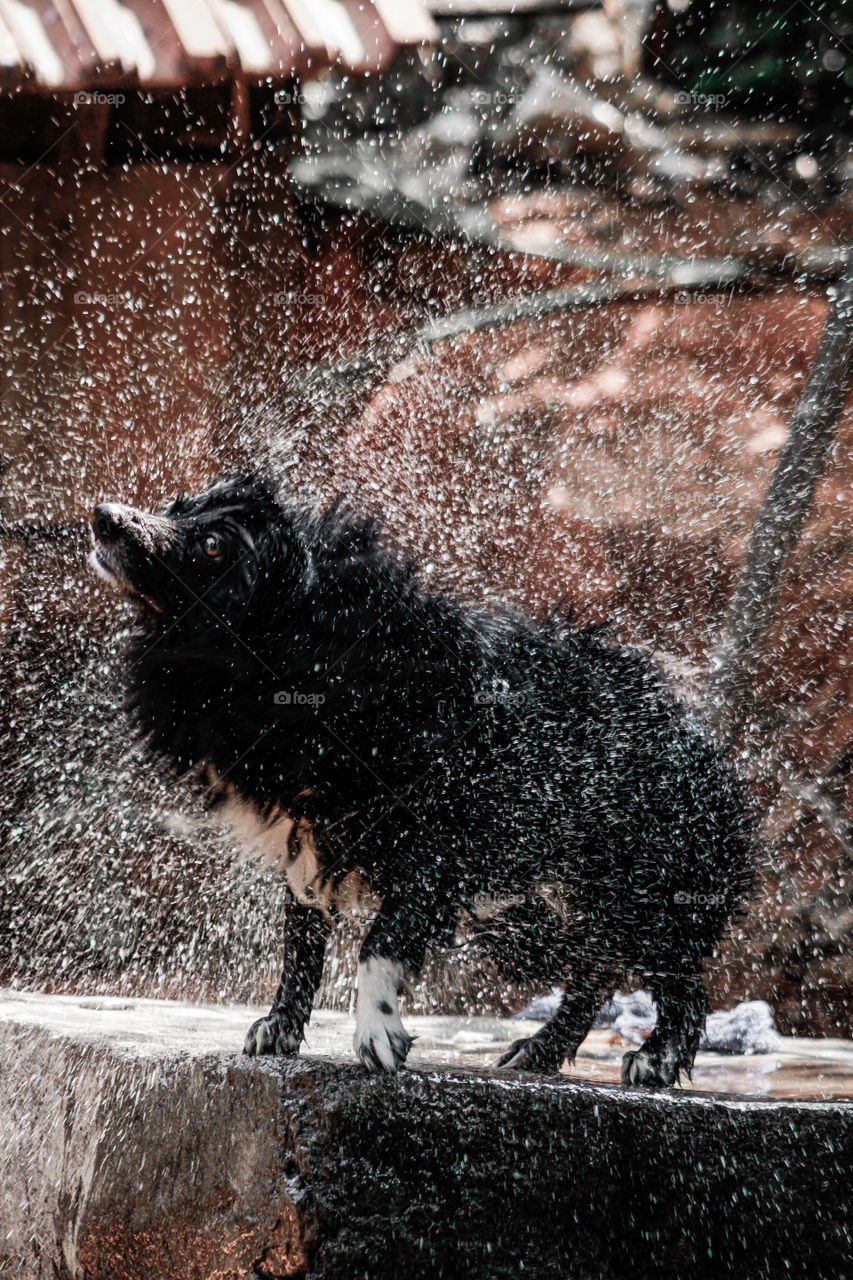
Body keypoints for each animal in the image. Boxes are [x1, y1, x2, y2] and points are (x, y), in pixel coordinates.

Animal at [89, 476, 753, 1085]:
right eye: (177, 506)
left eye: (212, 546)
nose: (104, 516)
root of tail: (700, 734)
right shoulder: (308, 834)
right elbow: (301, 937)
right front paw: (277, 1029)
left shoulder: (435, 839)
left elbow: (380, 941)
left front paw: (378, 1036)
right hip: (526, 907)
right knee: (594, 968)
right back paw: (537, 1051)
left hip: (633, 876)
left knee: (672, 970)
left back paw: (655, 1059)